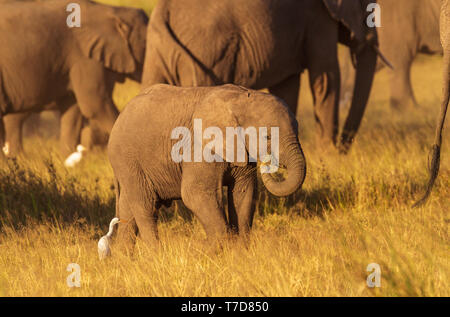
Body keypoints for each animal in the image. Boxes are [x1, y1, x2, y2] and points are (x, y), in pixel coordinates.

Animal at [0, 0, 149, 156]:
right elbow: (95, 105)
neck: (113, 11)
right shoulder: (84, 58)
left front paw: (68, 159)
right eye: (147, 44)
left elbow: (72, 111)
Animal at [107, 84, 308, 249]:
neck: (240, 99)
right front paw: (208, 252)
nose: (269, 162)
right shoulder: (199, 147)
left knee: (127, 211)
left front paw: (239, 253)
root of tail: (120, 116)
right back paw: (157, 256)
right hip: (127, 159)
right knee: (146, 205)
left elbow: (244, 192)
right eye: (267, 136)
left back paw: (125, 260)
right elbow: (195, 192)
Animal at [142, 0, 386, 153]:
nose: (343, 149)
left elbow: (287, 85)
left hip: (157, 53)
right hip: (206, 50)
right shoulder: (318, 17)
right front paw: (328, 154)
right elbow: (326, 77)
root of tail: (163, 14)